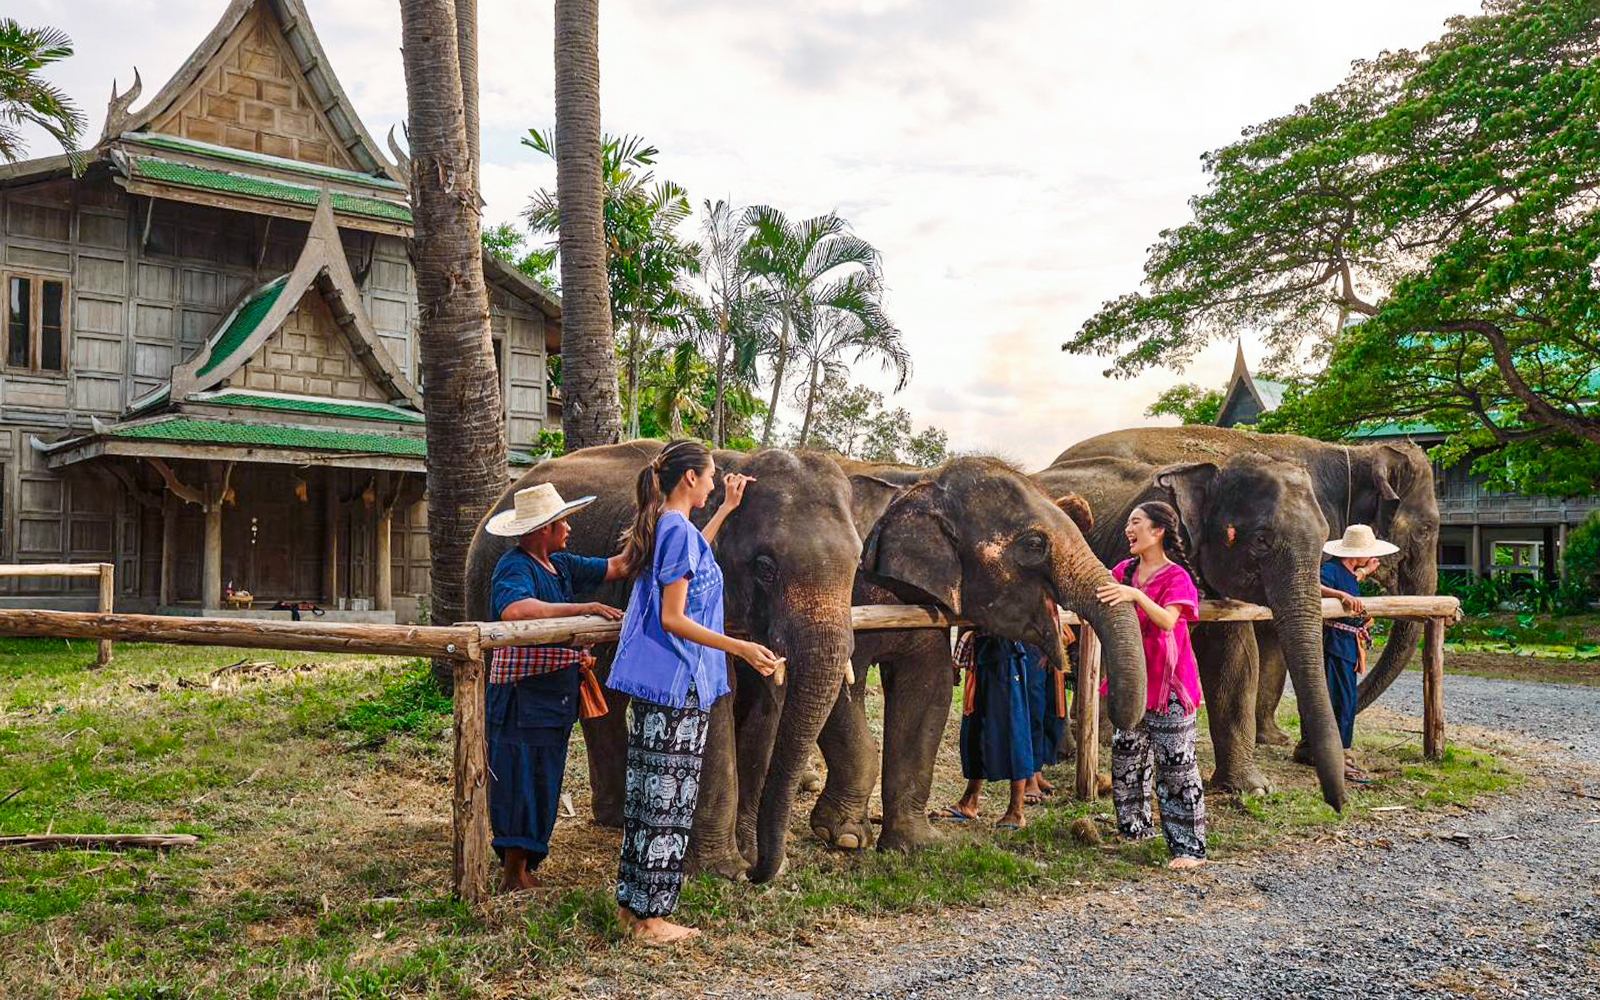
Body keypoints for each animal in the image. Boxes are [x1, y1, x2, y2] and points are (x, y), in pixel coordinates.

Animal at [466, 441, 863, 884]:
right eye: (765, 567)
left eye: (859, 564)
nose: (760, 872)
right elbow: (716, 694)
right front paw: (724, 870)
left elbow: (766, 706)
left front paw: (749, 856)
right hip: (484, 584)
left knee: (606, 696)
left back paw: (617, 820)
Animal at [805, 456, 1148, 854]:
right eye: (1034, 544)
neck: (921, 483)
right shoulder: (848, 593)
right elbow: (841, 686)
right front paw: (844, 837)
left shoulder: (926, 606)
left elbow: (929, 690)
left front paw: (916, 844)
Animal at [1033, 451, 1347, 810]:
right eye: (1261, 540)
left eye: (1325, 538)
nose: (1338, 804)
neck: (1214, 467)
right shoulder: (1125, 551)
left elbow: (1235, 662)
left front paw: (1251, 788)